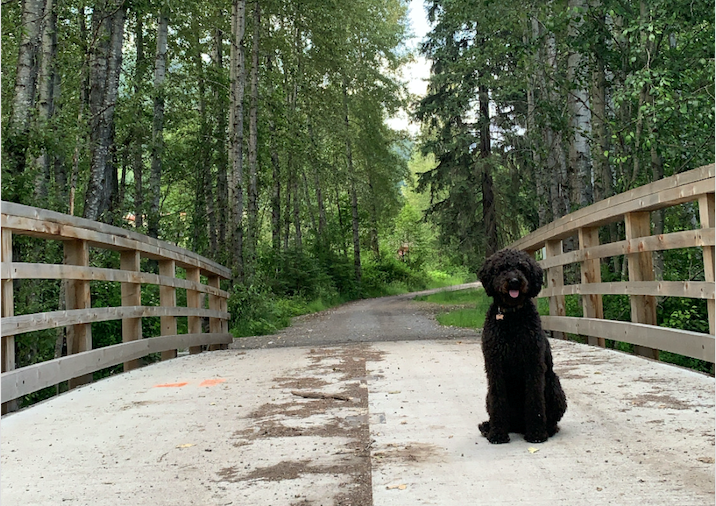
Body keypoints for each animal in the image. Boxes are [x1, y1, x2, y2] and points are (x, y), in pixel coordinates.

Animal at [478, 249, 568, 442]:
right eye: (502, 268)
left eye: (522, 267)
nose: (514, 281)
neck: (511, 317)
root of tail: (518, 425)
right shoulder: (494, 366)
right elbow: (498, 400)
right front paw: (497, 434)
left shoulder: (533, 364)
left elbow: (534, 399)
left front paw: (536, 433)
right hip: (488, 397)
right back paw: (488, 427)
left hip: (554, 385)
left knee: (552, 419)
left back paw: (547, 429)